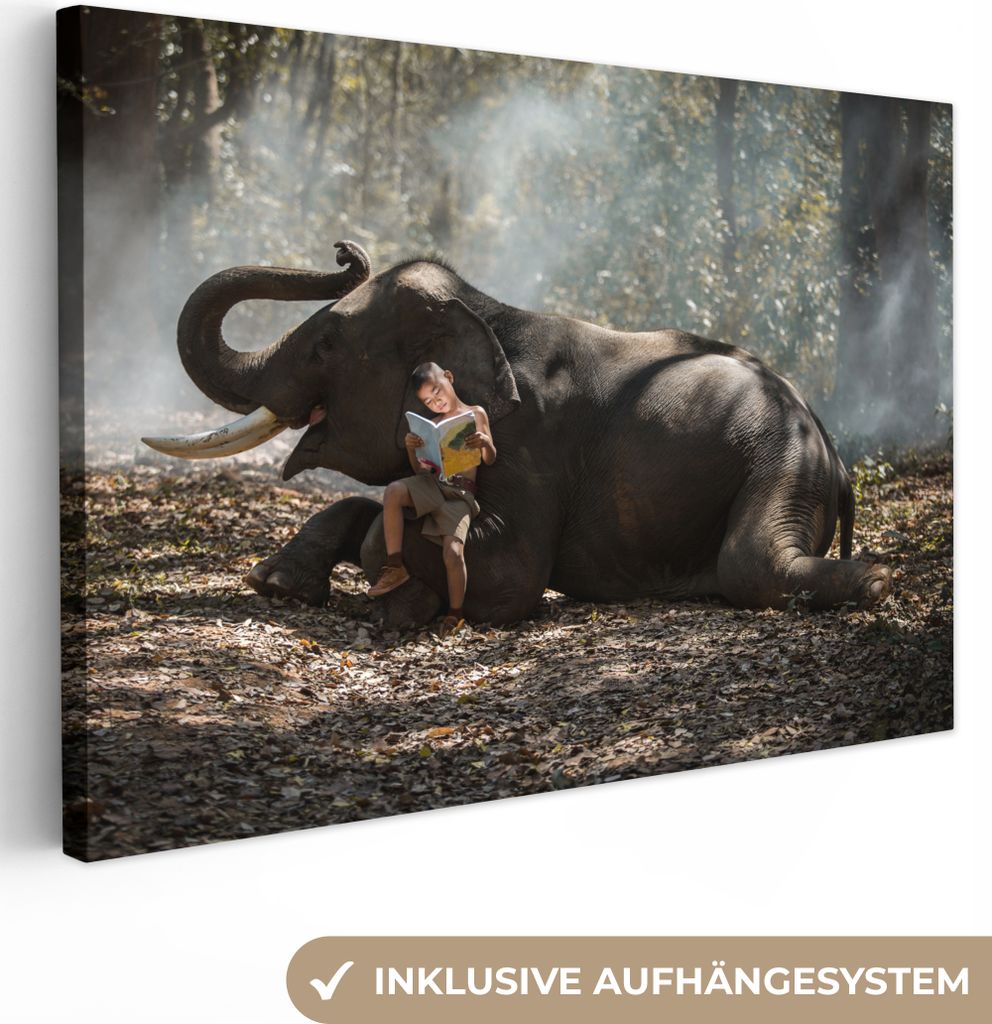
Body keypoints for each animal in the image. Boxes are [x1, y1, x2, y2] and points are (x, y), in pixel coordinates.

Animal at [143, 239, 891, 628]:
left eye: (326, 345)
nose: (345, 252)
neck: (483, 309)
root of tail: (832, 446)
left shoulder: (531, 439)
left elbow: (511, 577)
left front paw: (399, 597)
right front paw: (277, 585)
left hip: (780, 459)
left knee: (751, 563)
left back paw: (876, 581)